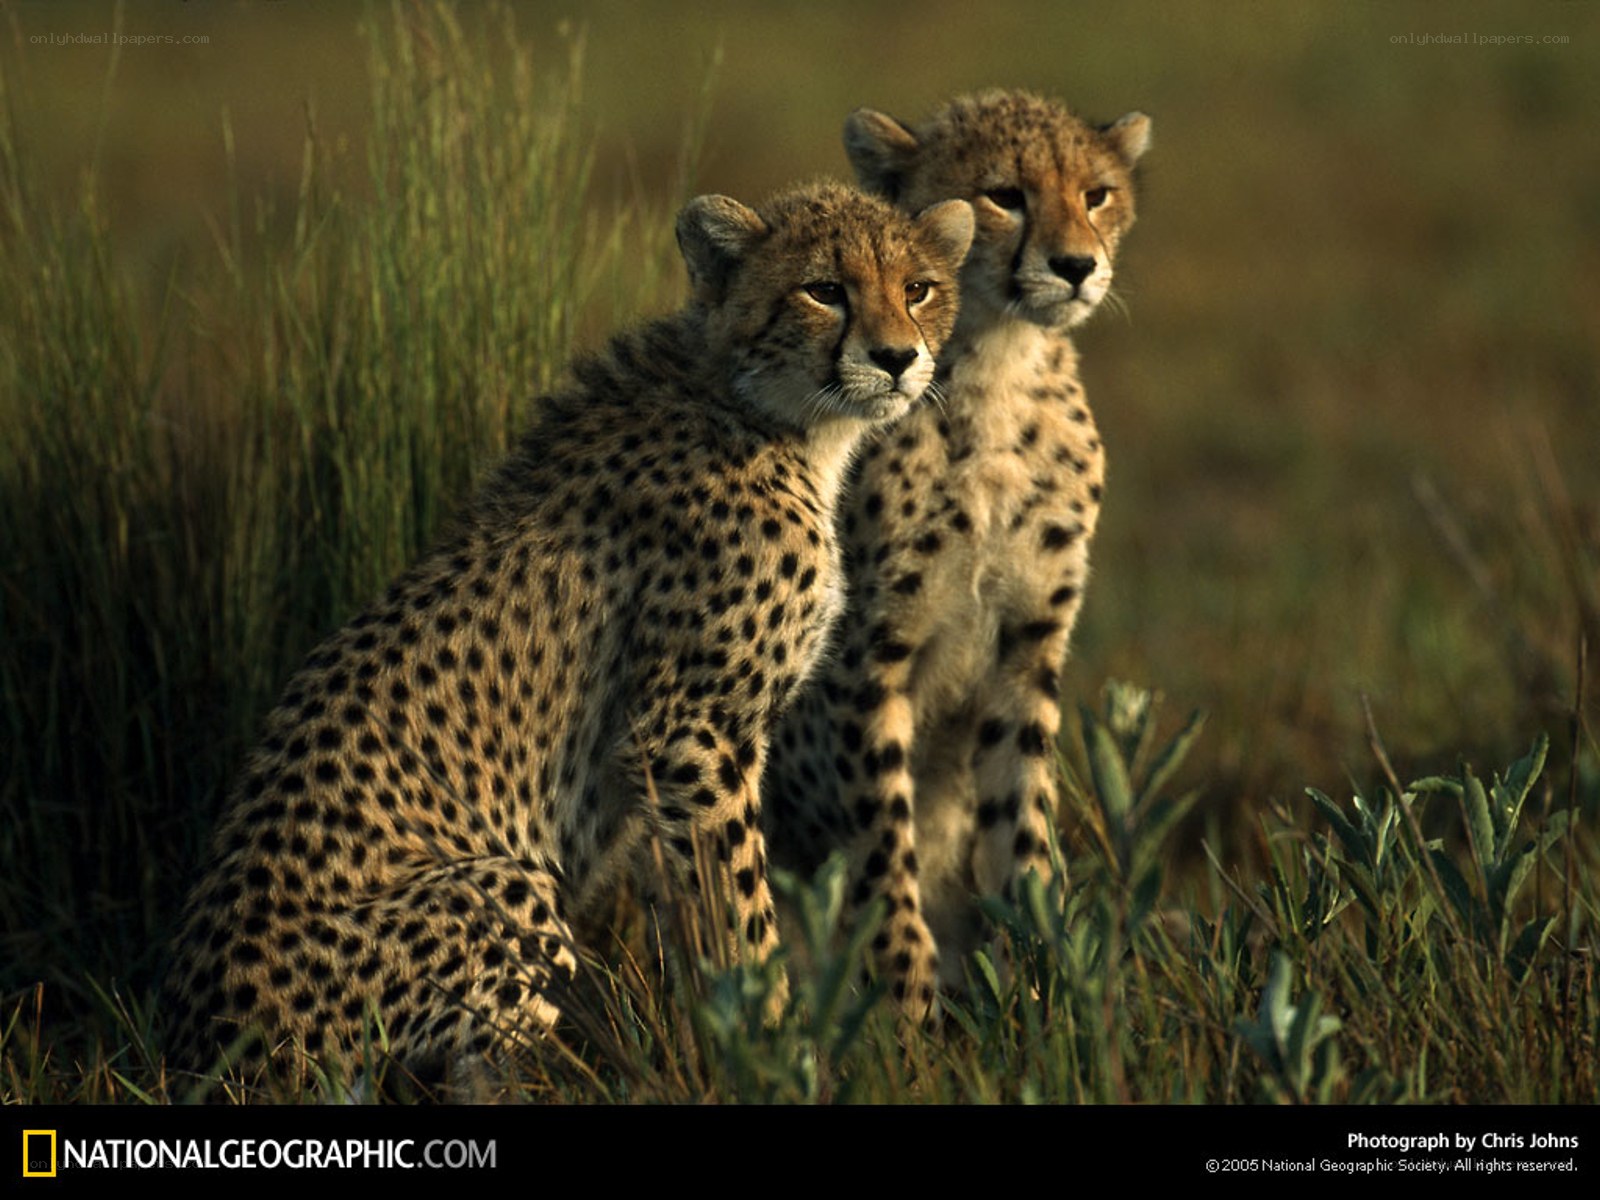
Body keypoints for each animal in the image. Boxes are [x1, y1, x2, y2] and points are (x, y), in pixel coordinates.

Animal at [160, 180, 974, 1091]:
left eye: (918, 289)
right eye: (824, 289)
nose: (898, 358)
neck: (769, 412)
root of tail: (194, 1040)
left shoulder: (683, 758)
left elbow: (694, 914)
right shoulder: (688, 731)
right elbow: (739, 908)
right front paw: (775, 1050)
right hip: (503, 891)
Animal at [763, 90, 1151, 1017]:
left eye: (1096, 195)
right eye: (1003, 195)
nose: (1076, 266)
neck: (998, 375)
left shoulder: (1026, 646)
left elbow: (1022, 821)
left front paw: (1046, 987)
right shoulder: (869, 660)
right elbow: (882, 844)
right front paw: (905, 1005)